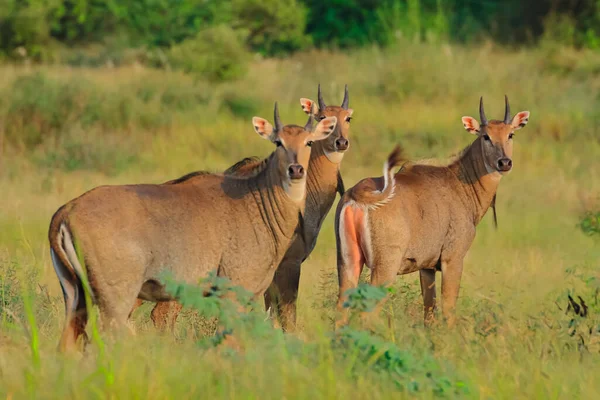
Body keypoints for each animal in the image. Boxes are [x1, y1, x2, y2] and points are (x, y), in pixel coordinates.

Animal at [49, 104, 338, 350]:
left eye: (308, 141)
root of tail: (67, 210)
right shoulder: (234, 293)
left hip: (75, 298)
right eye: (278, 142)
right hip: (115, 302)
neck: (257, 198)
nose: (296, 169)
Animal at [143, 84, 354, 332]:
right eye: (321, 117)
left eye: (348, 117)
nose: (341, 142)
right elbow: (287, 317)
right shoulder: (289, 264)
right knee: (162, 315)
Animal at [338, 98, 528, 326]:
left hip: (348, 264)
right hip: (384, 267)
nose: (504, 162)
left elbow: (429, 312)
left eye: (510, 134)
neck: (460, 183)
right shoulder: (452, 259)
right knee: (368, 313)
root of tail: (358, 194)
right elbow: (448, 309)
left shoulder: (426, 267)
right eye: (485, 136)